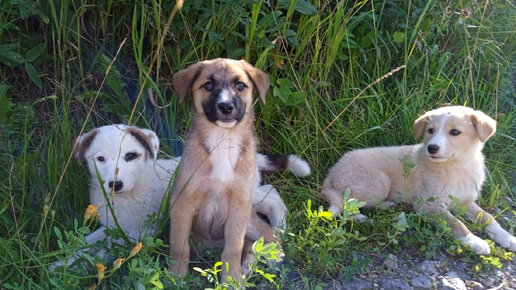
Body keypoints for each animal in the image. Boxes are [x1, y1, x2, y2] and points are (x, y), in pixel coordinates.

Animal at [169, 59, 274, 280]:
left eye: (240, 85)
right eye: (208, 85)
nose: (226, 107)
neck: (223, 140)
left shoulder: (239, 206)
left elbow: (233, 248)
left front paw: (232, 279)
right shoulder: (182, 202)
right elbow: (179, 246)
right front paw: (175, 277)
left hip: (249, 219)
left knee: (269, 236)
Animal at [322, 106, 516, 254]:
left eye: (455, 132)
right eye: (430, 130)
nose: (432, 147)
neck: (457, 167)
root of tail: (331, 173)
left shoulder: (464, 201)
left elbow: (488, 217)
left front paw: (507, 237)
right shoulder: (429, 205)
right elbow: (456, 222)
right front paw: (474, 241)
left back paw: (387, 205)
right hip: (379, 181)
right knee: (347, 203)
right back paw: (364, 218)